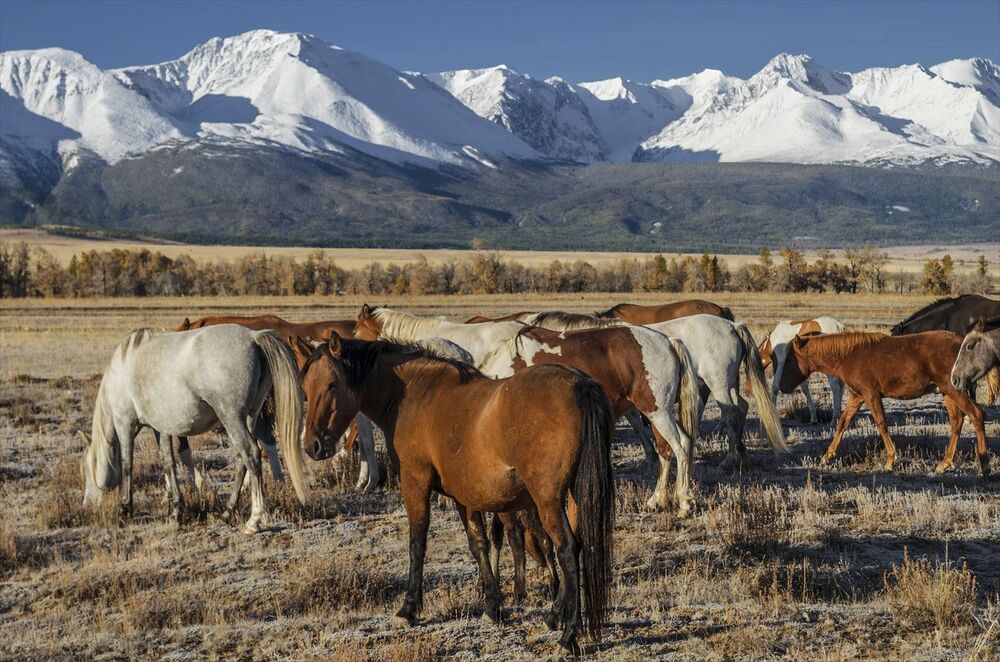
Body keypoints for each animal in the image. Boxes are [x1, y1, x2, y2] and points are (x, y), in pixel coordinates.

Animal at [81, 326, 308, 533]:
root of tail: (254, 337)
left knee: (251, 454)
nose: (87, 504)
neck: (122, 366)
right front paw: (175, 511)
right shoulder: (160, 428)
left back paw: (254, 520)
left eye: (87, 468)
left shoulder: (124, 422)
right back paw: (227, 512)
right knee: (242, 459)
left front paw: (125, 509)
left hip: (232, 418)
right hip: (250, 416)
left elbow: (127, 464)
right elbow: (168, 463)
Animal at [297, 336, 615, 652]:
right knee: (578, 544)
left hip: (547, 500)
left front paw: (409, 609)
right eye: (306, 387)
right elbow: (478, 544)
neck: (415, 395)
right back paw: (554, 616)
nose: (312, 445)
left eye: (332, 384)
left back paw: (568, 634)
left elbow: (417, 543)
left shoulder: (415, 482)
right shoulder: (464, 495)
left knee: (567, 549)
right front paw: (492, 607)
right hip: (572, 497)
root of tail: (581, 385)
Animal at [481, 324, 701, 514]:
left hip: (659, 412)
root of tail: (667, 341)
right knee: (665, 449)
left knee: (681, 446)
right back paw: (657, 499)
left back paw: (683, 502)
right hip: (656, 413)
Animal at [522, 311, 787, 466]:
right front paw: (649, 454)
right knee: (741, 408)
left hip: (719, 383)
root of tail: (732, 325)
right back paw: (740, 452)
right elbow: (636, 422)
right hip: (729, 383)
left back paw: (730, 459)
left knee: (731, 413)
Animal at [779, 332, 989, 475]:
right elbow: (842, 424)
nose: (782, 386)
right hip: (947, 392)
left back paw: (984, 465)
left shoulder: (871, 395)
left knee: (976, 415)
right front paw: (826, 457)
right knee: (956, 423)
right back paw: (945, 463)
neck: (848, 356)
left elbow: (881, 424)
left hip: (954, 390)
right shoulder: (857, 397)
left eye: (789, 360)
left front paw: (890, 460)